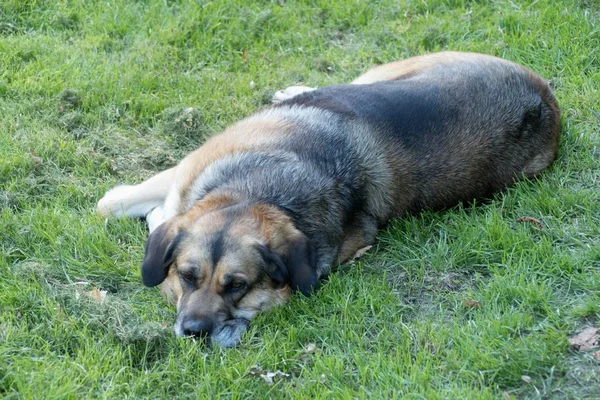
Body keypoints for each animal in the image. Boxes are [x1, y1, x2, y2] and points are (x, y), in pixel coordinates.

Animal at [96, 52, 560, 346]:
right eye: (187, 276)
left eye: (238, 286)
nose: (194, 332)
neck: (258, 192)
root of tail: (548, 101)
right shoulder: (189, 171)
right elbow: (113, 204)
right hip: (385, 73)